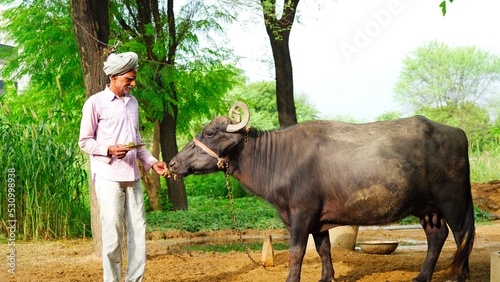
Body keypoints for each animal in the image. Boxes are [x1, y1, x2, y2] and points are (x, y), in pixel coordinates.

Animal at [168, 102, 472, 282]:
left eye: (209, 133)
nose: (171, 163)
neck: (278, 157)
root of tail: (458, 133)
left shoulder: (302, 213)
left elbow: (296, 251)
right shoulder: (318, 220)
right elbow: (323, 249)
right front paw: (327, 277)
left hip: (454, 202)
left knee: (462, 236)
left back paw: (459, 276)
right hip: (427, 208)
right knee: (437, 236)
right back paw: (422, 276)